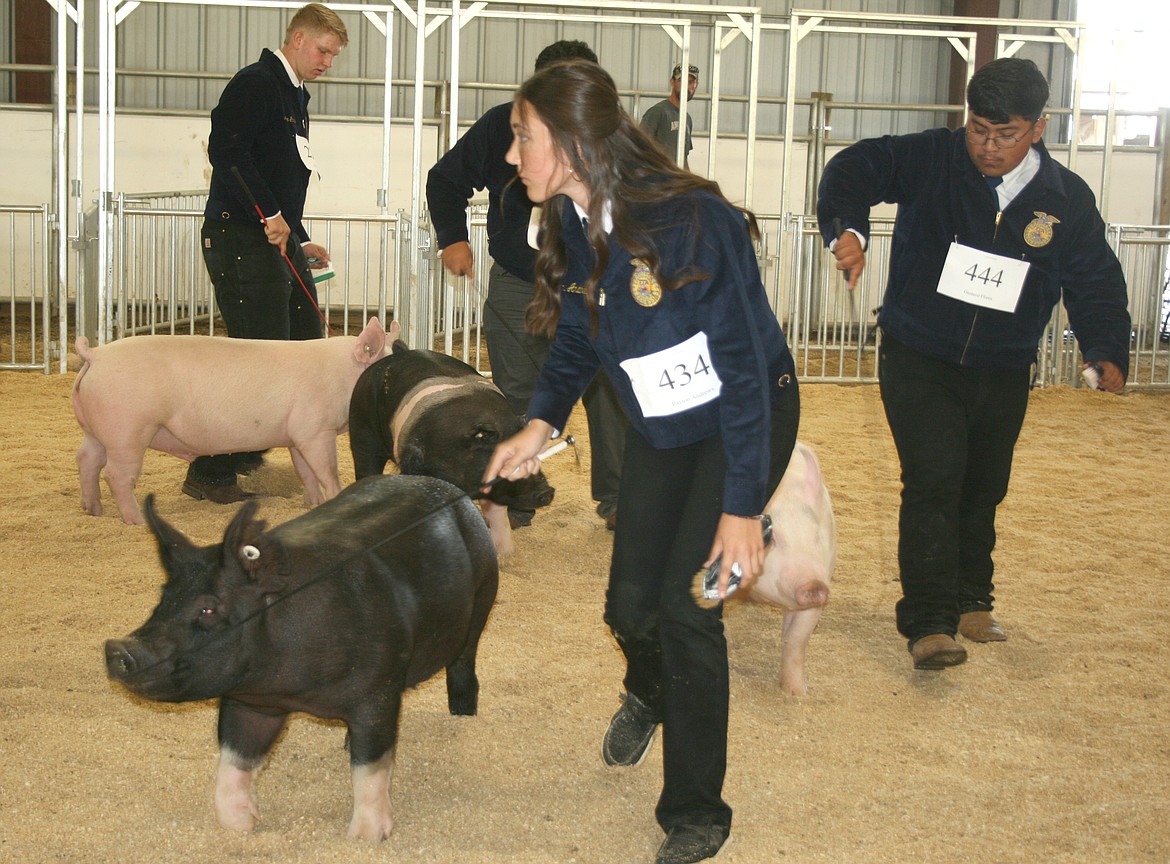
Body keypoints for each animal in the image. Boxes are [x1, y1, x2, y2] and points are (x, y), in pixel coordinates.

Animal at [73, 313, 395, 522]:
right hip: (128, 430)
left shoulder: (297, 435)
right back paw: (136, 520)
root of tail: (95, 356)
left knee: (87, 459)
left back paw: (92, 510)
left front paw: (312, 504)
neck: (341, 373)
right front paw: (333, 500)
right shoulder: (316, 430)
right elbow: (328, 472)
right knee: (116, 474)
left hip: (97, 430)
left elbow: (307, 473)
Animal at [104, 475, 498, 838]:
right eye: (164, 597)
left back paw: (463, 715)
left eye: (208, 609)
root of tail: (448, 487)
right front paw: (244, 825)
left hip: (481, 601)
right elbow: (233, 764)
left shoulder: (378, 689)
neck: (292, 691)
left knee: (464, 667)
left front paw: (367, 837)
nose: (117, 649)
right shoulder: (249, 702)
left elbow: (370, 767)